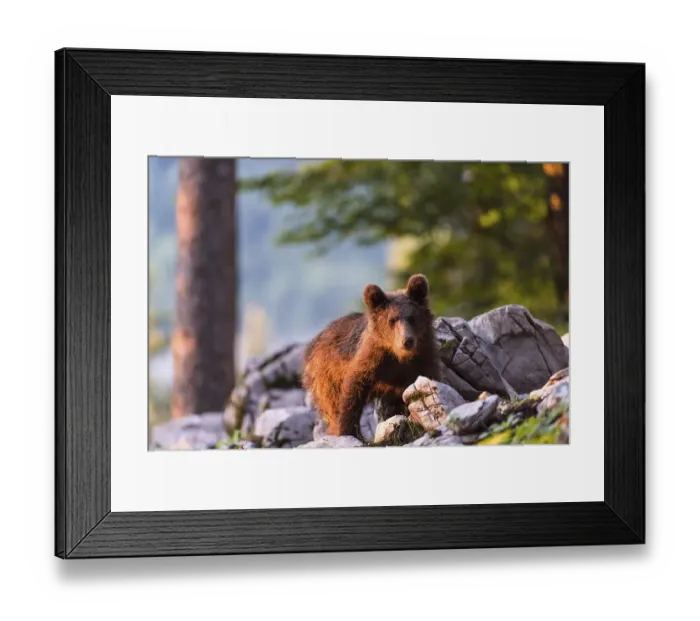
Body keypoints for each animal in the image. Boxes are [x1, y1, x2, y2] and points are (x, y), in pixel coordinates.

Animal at [303, 274, 441, 438]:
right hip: (326, 376)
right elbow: (353, 392)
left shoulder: (423, 356)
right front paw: (346, 430)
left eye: (412, 317)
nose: (407, 340)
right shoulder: (372, 359)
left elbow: (429, 377)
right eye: (391, 320)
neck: (400, 357)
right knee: (332, 403)